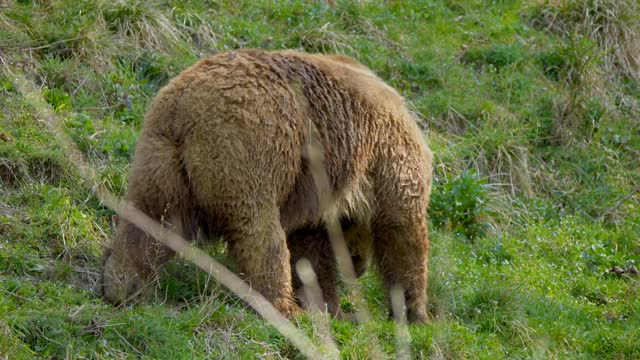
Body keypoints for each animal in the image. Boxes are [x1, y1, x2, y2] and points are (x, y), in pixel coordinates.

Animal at [101, 48, 436, 324]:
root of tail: (184, 109)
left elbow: (312, 252)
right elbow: (402, 231)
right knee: (260, 233)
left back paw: (120, 284)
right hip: (250, 149)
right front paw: (415, 312)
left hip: (162, 158)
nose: (359, 267)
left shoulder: (315, 193)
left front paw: (330, 306)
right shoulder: (388, 159)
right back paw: (283, 306)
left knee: (152, 219)